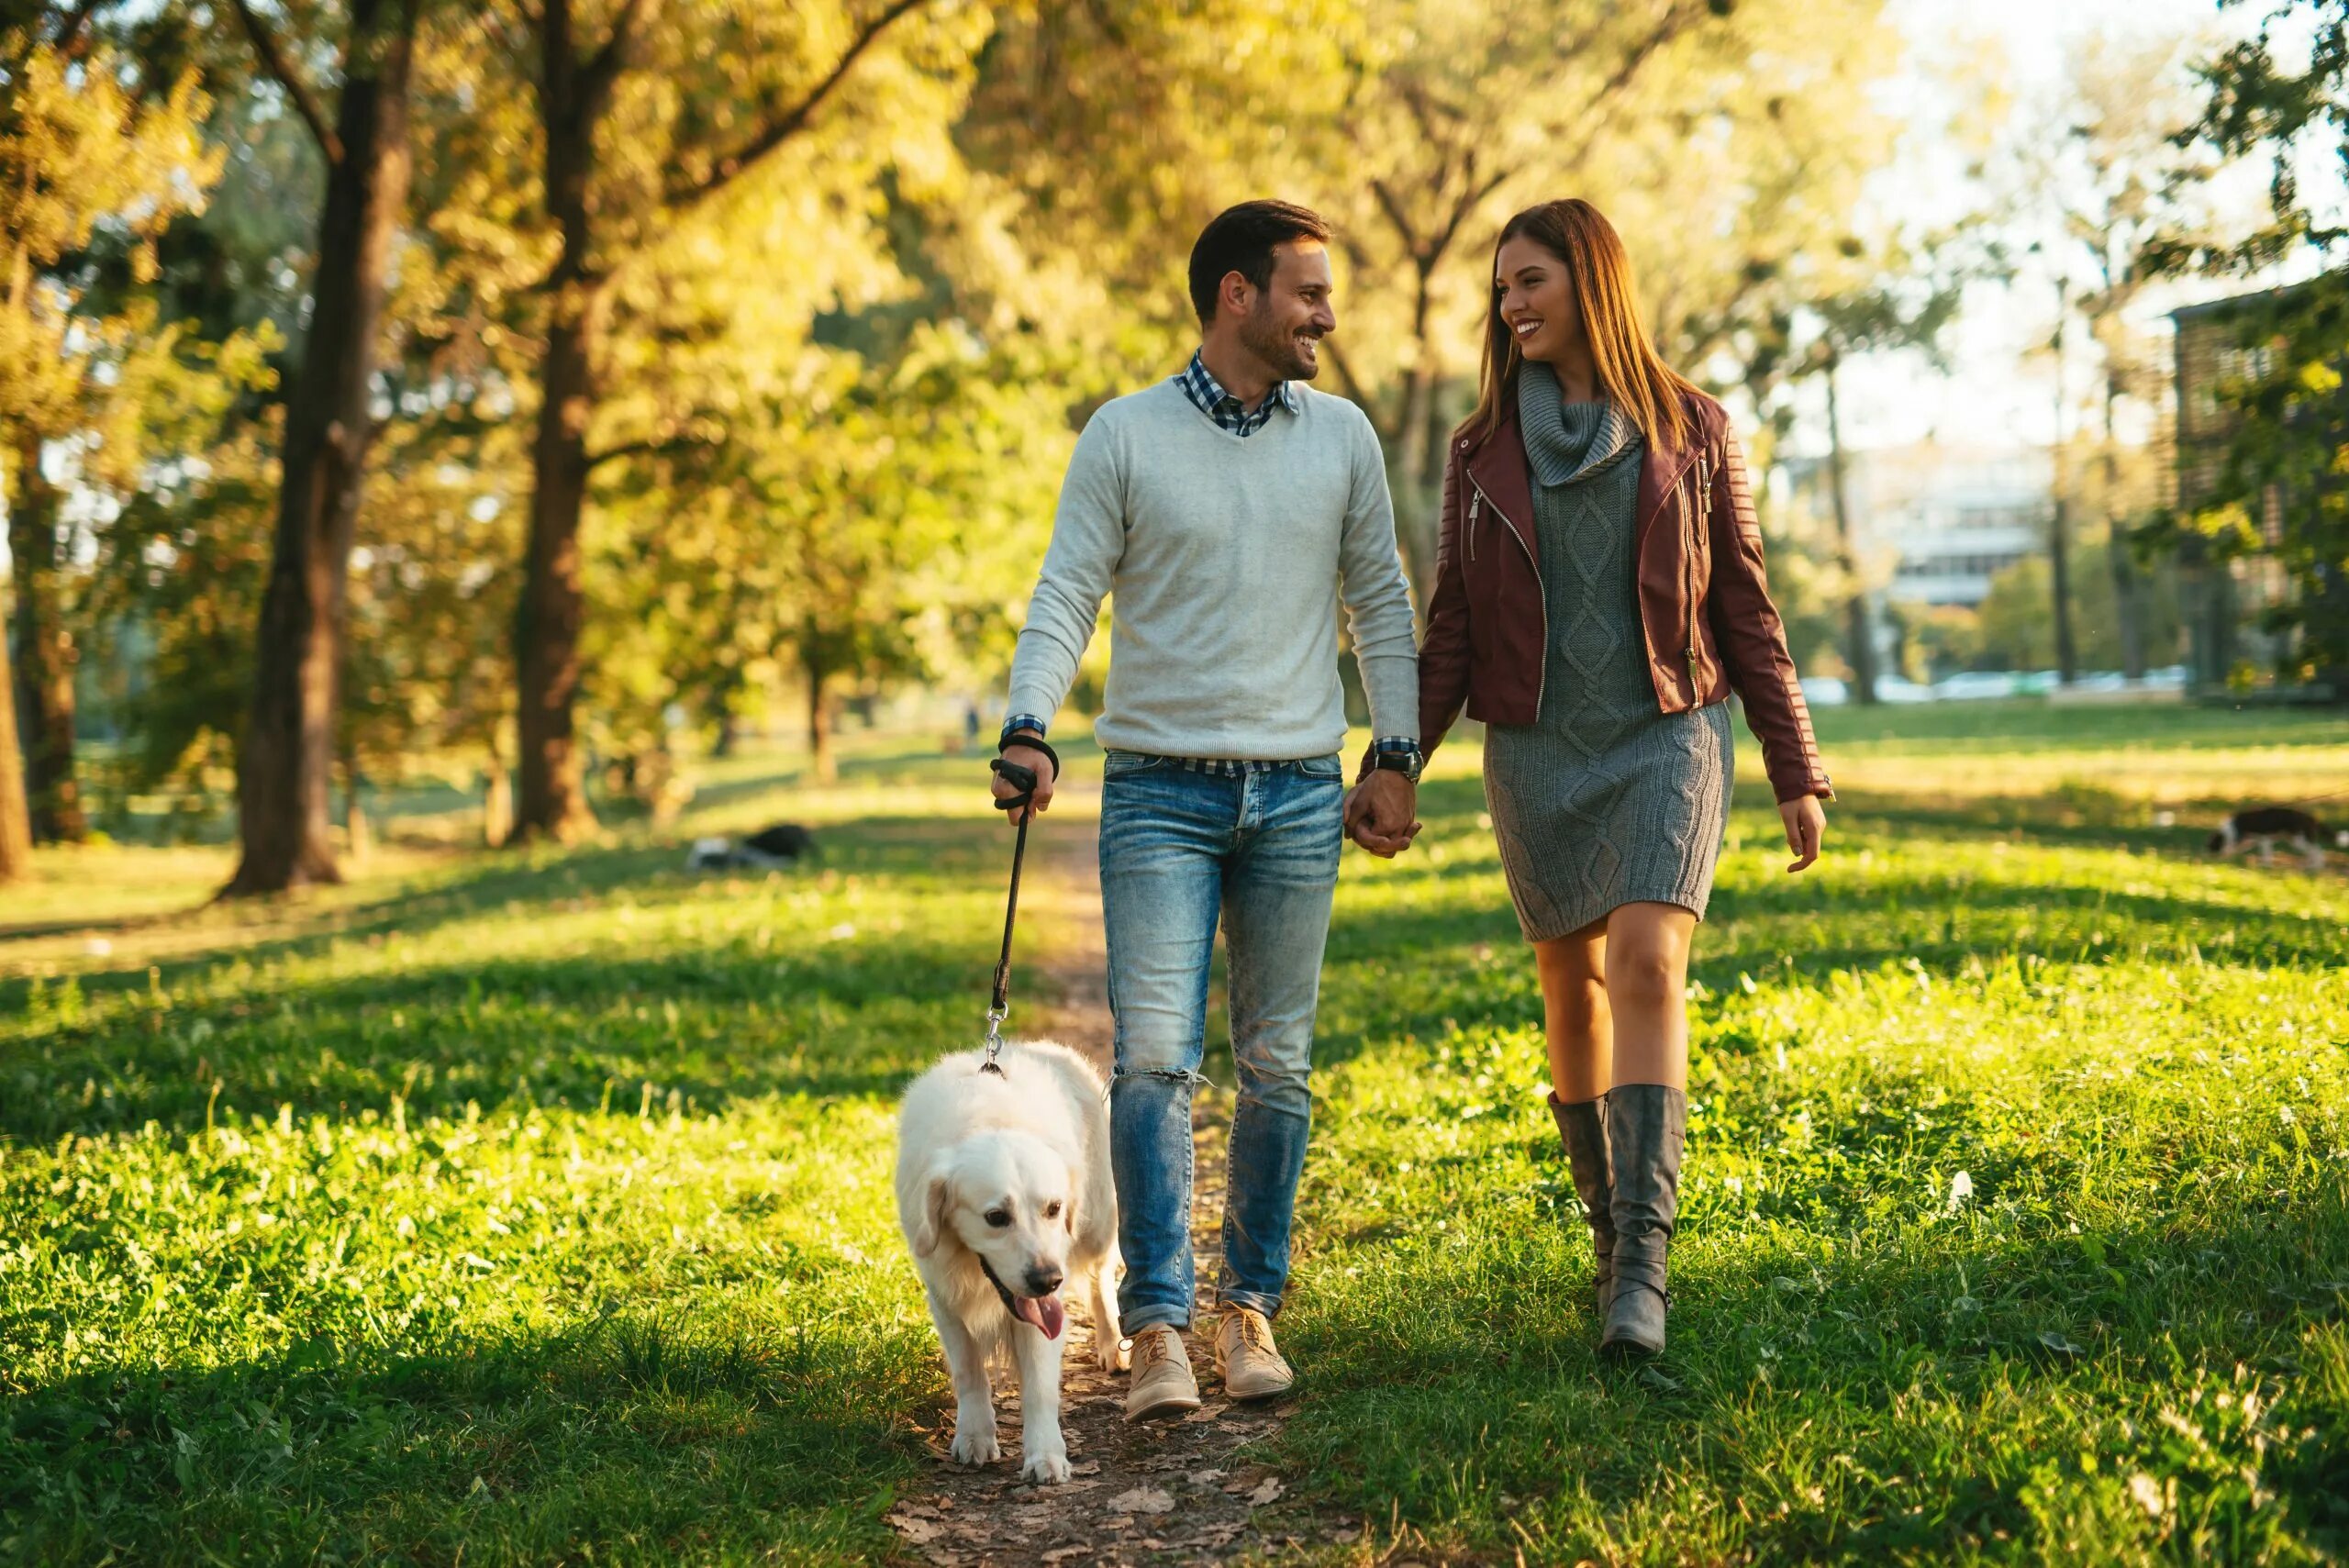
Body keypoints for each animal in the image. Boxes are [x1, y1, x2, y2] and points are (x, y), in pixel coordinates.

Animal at [892, 1041, 1122, 1483]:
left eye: (1054, 1208)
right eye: (996, 1217)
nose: (1048, 1280)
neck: (988, 1120)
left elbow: (1039, 1386)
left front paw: (1045, 1454)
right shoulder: (943, 1295)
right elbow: (968, 1370)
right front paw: (975, 1435)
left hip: (1099, 1222)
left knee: (1101, 1280)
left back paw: (1114, 1345)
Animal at [2208, 807, 2339, 868]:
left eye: (2211, 847)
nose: (2208, 857)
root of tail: (2308, 816)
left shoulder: (2263, 840)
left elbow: (2228, 849)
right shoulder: (2255, 841)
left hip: (2298, 839)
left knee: (2317, 850)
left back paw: (2316, 866)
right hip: (2296, 839)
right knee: (2314, 850)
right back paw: (2312, 865)